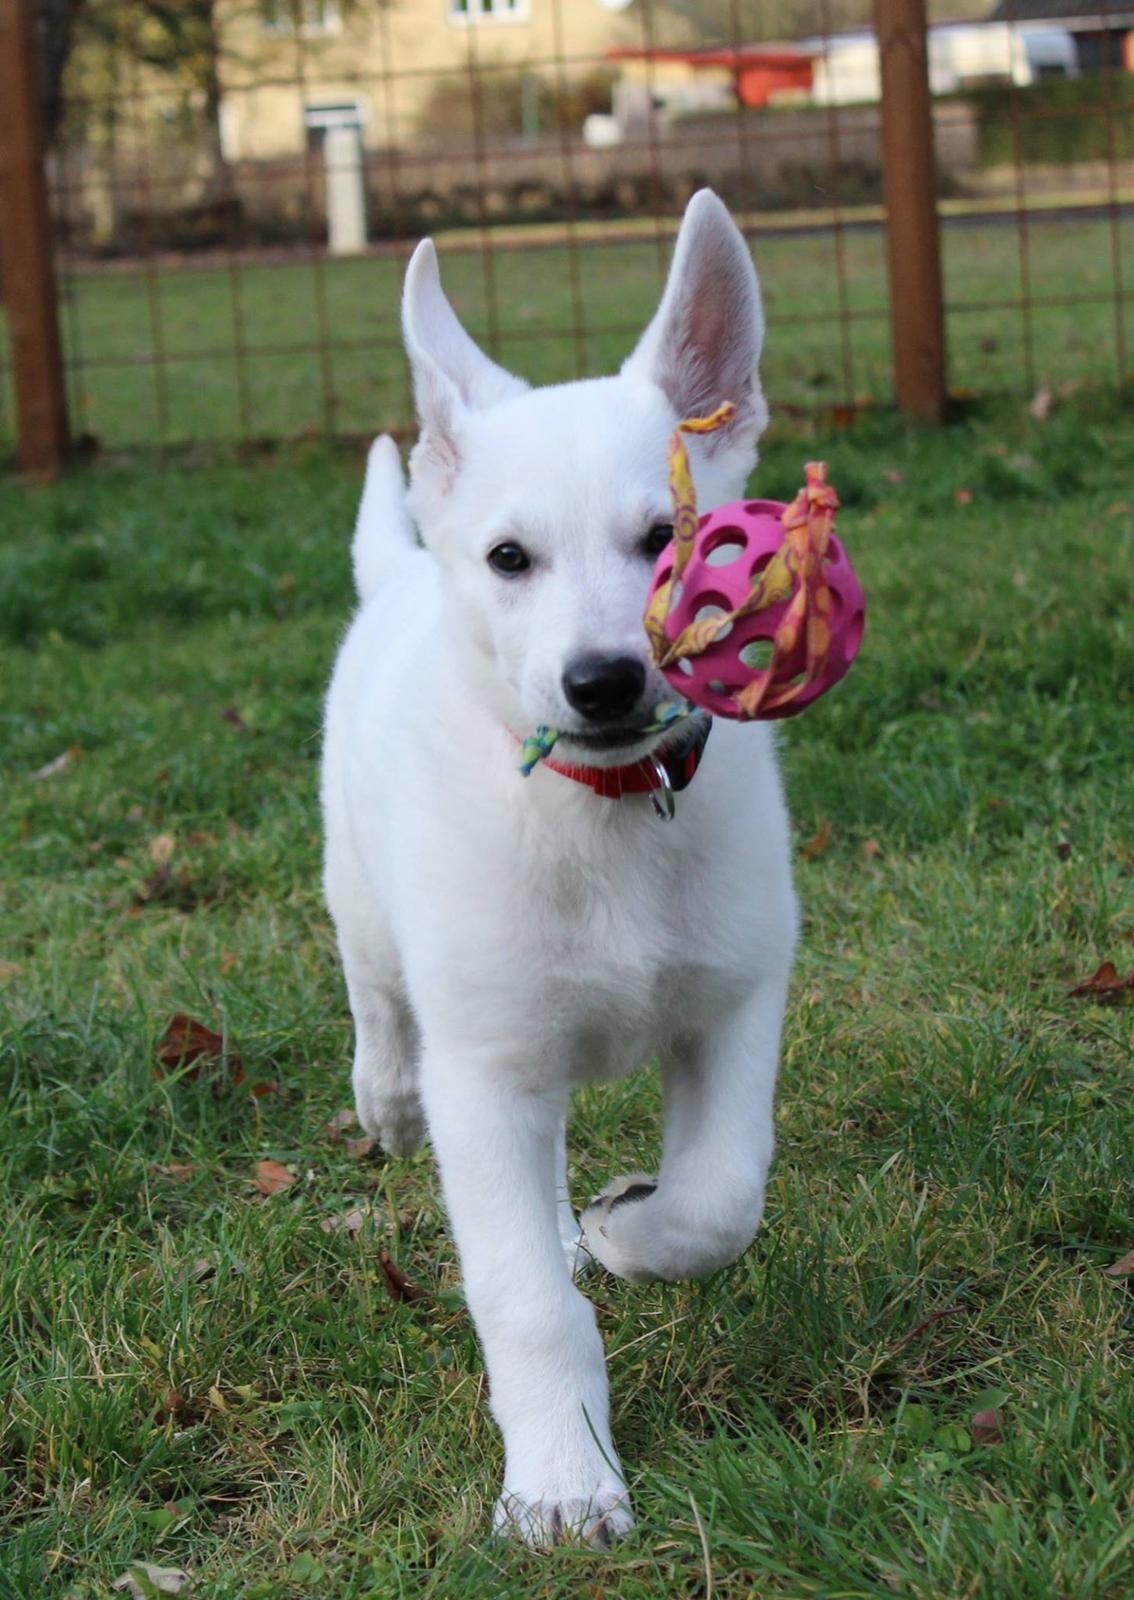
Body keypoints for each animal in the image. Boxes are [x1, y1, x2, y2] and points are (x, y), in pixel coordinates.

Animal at [318, 187, 796, 1548]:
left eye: (667, 535)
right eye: (510, 558)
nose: (605, 681)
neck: (608, 814)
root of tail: (398, 572)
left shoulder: (736, 998)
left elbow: (718, 1197)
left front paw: (624, 1228)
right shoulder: (488, 1075)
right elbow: (522, 1297)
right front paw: (563, 1480)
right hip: (362, 900)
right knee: (377, 999)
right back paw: (385, 1098)